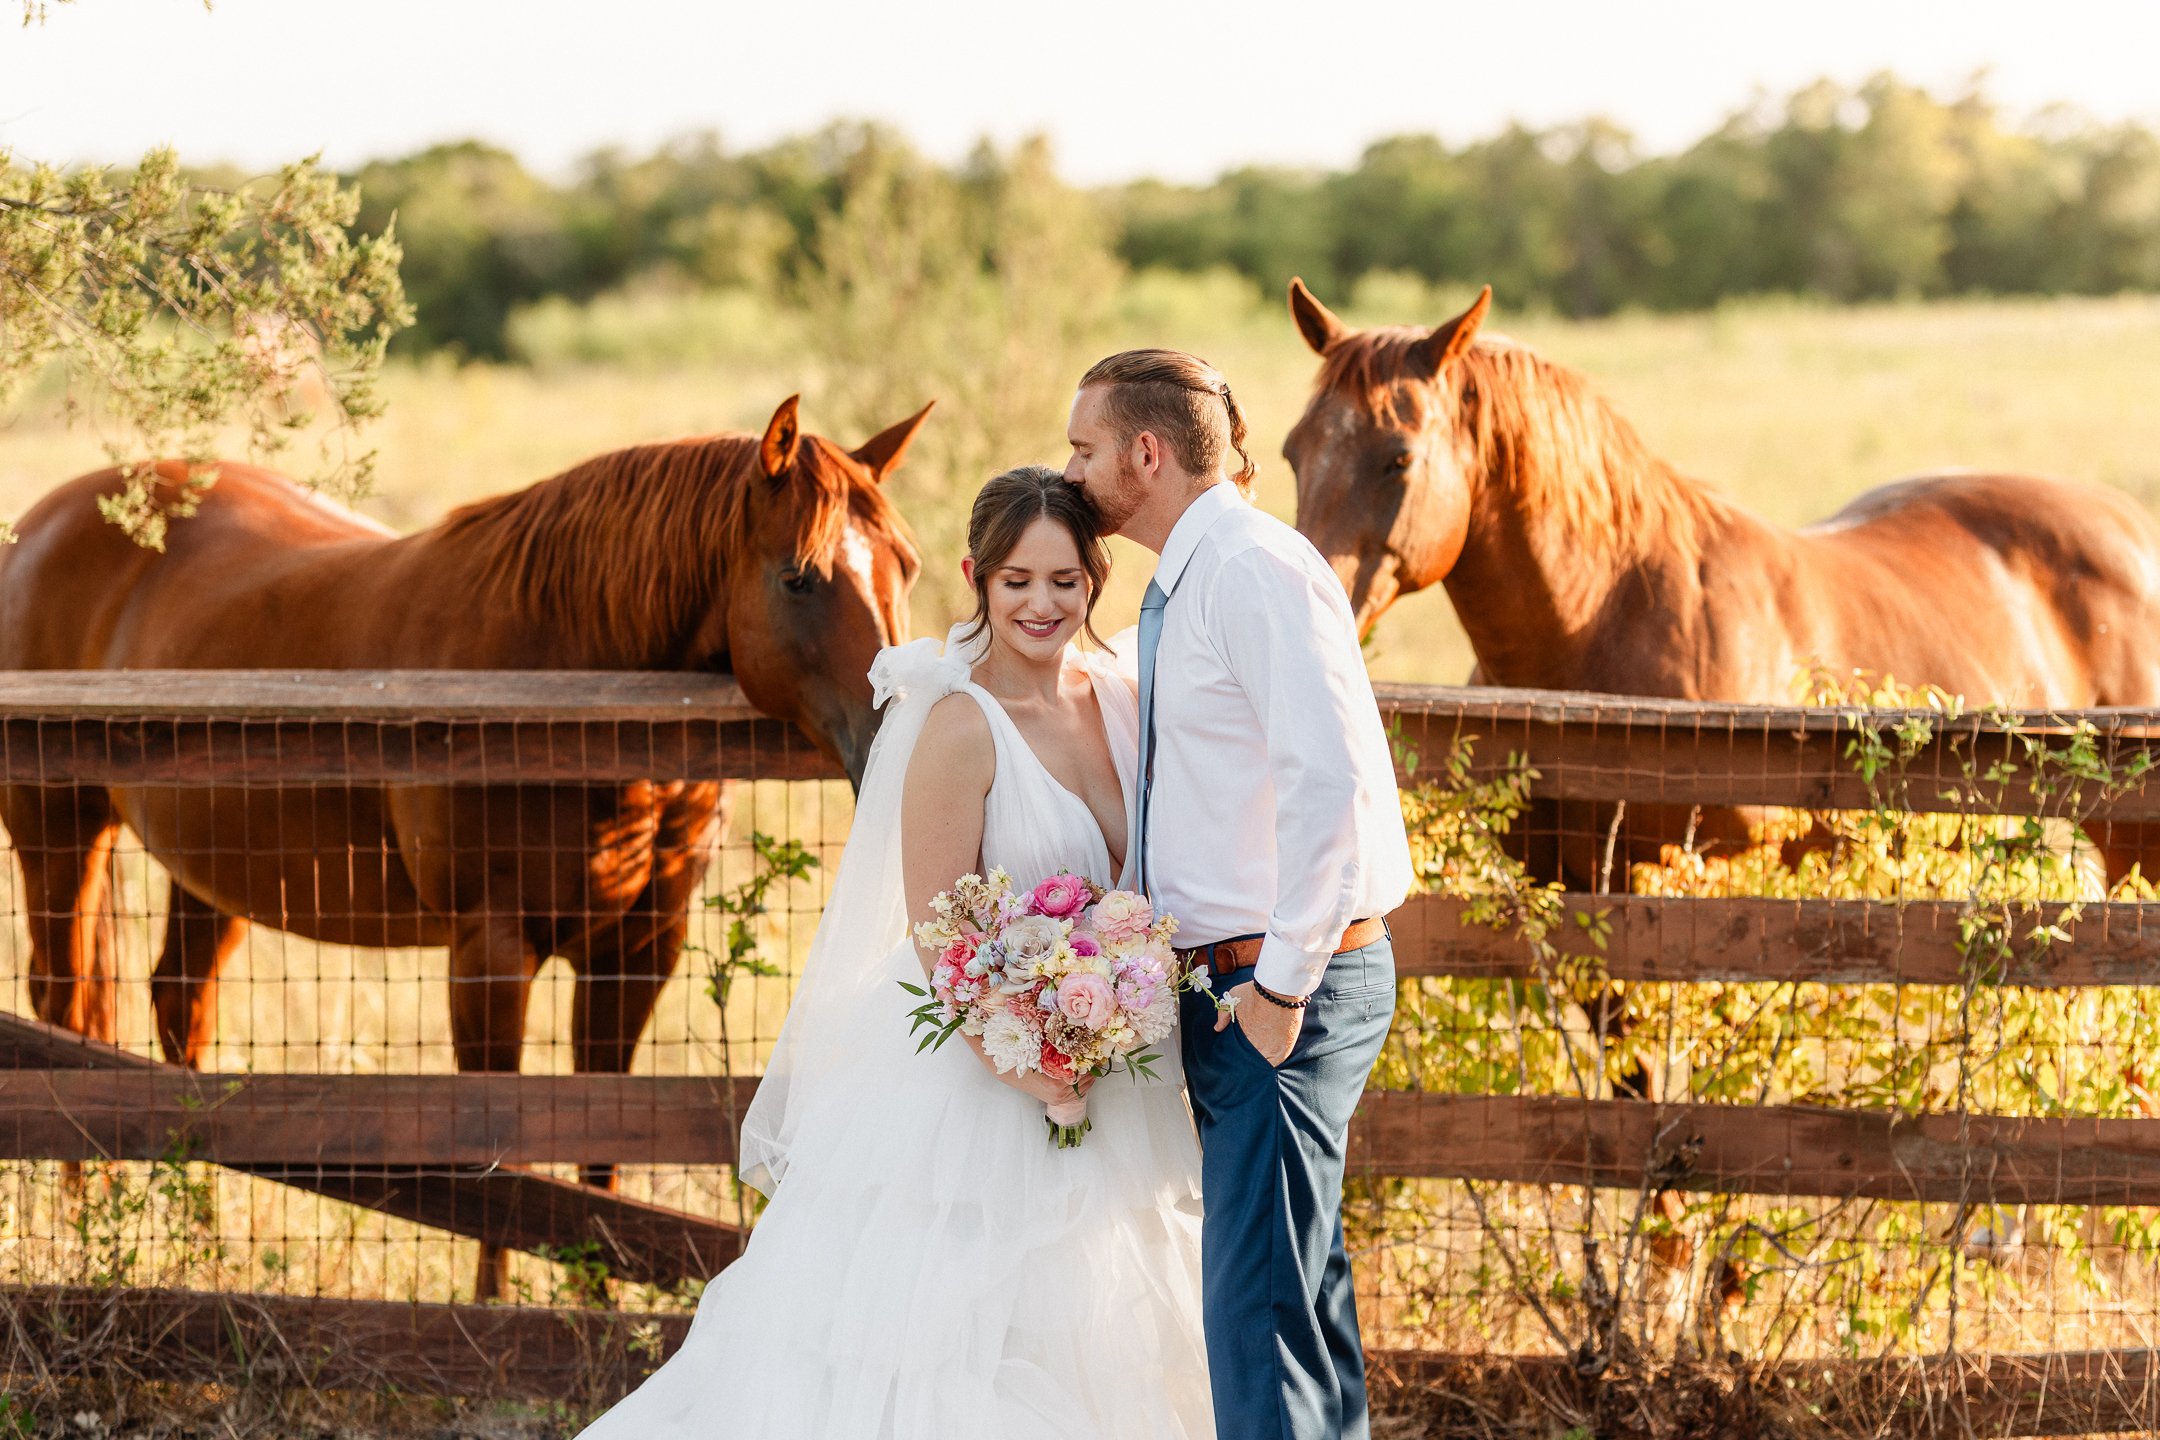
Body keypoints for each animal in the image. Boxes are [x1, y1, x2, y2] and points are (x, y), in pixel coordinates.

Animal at [0, 399, 920, 1303]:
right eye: (799, 577)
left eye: (904, 568)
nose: (907, 737)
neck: (567, 685)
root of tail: (42, 526)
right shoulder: (490, 950)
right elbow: (497, 1138)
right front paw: (496, 1305)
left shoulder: (636, 953)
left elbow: (609, 1138)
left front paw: (597, 1305)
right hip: (61, 837)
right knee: (66, 1009)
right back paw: (79, 1233)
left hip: (212, 871)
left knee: (178, 1013)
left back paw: (194, 1236)